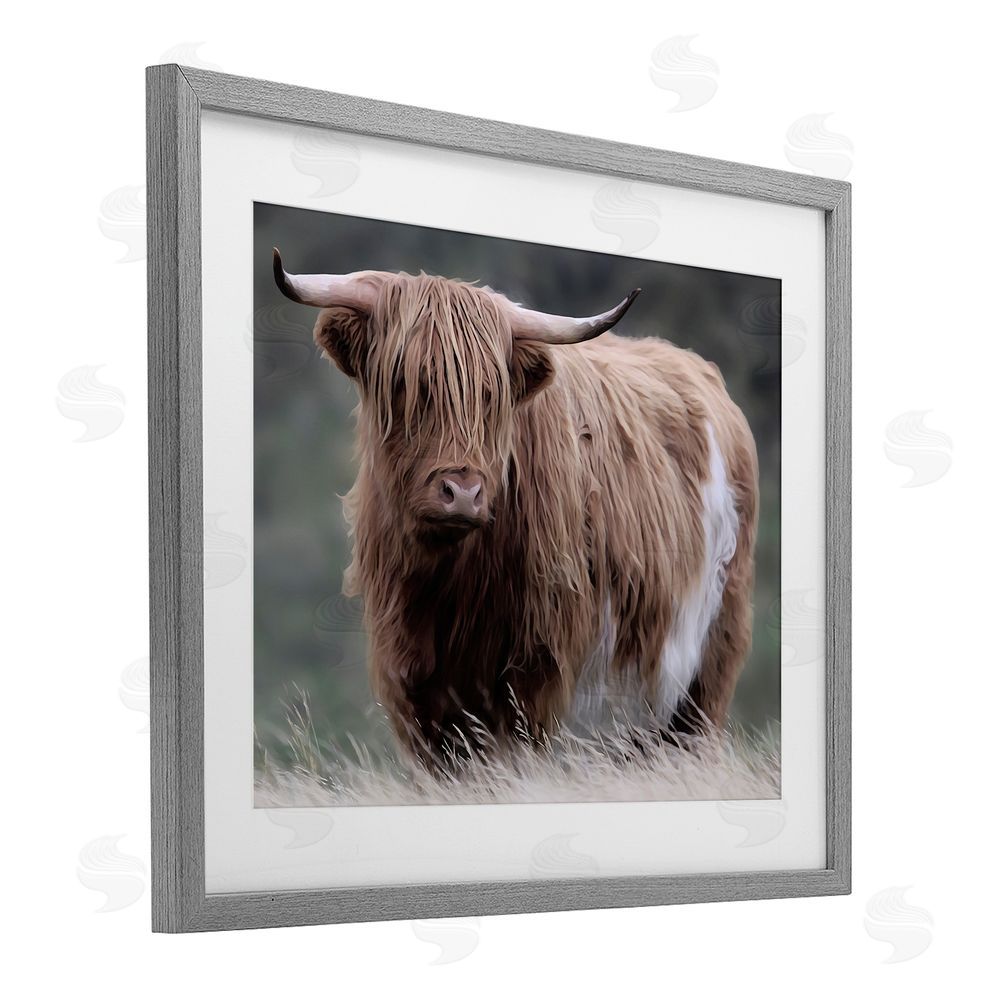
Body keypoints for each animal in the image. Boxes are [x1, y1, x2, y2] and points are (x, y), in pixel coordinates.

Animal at [272, 249, 759, 766]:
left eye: (492, 394)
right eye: (404, 382)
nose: (462, 491)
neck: (448, 585)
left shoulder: (536, 677)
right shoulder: (412, 683)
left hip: (706, 665)